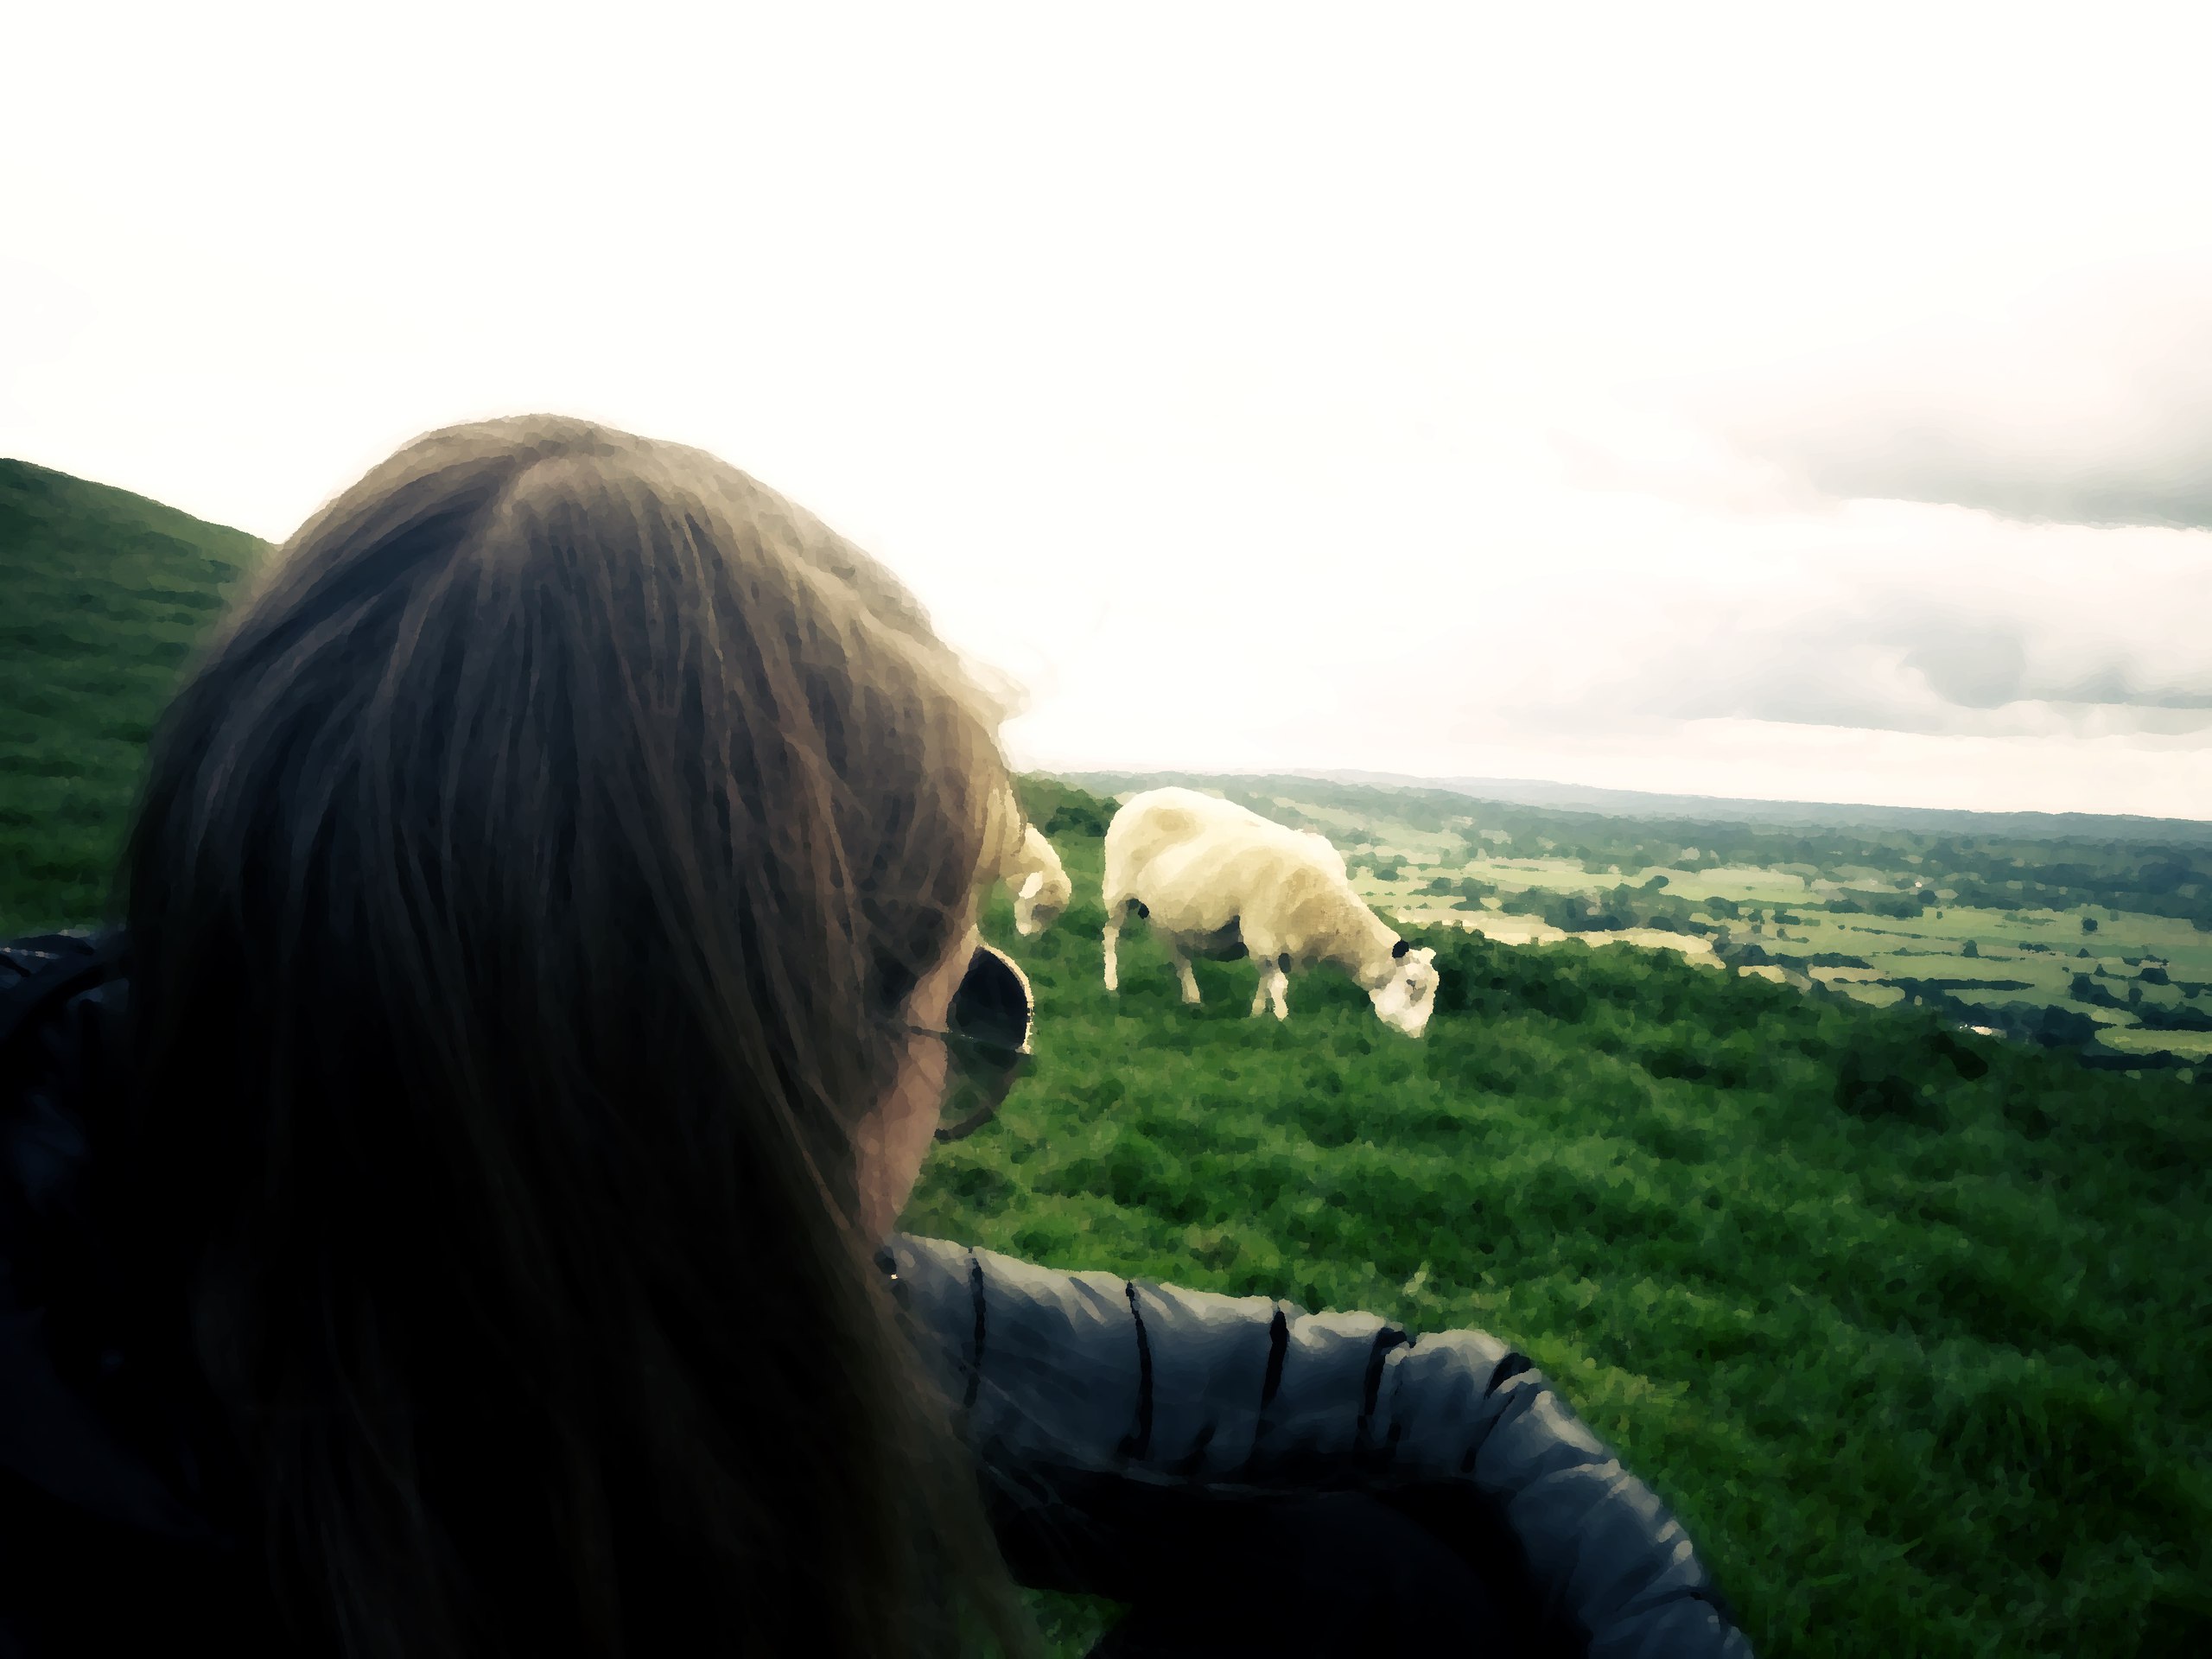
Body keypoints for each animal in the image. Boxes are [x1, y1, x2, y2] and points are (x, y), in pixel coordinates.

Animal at [1101, 791, 1442, 1039]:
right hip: (1118, 891)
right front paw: (1282, 1023)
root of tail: (1137, 799)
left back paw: (1192, 997)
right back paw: (1111, 984)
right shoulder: (1262, 933)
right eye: (1412, 983)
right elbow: (1278, 985)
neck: (1329, 911)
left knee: (1177, 954)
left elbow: (1266, 982)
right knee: (1110, 936)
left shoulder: (1275, 944)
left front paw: (1255, 1016)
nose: (1417, 1036)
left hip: (1166, 913)